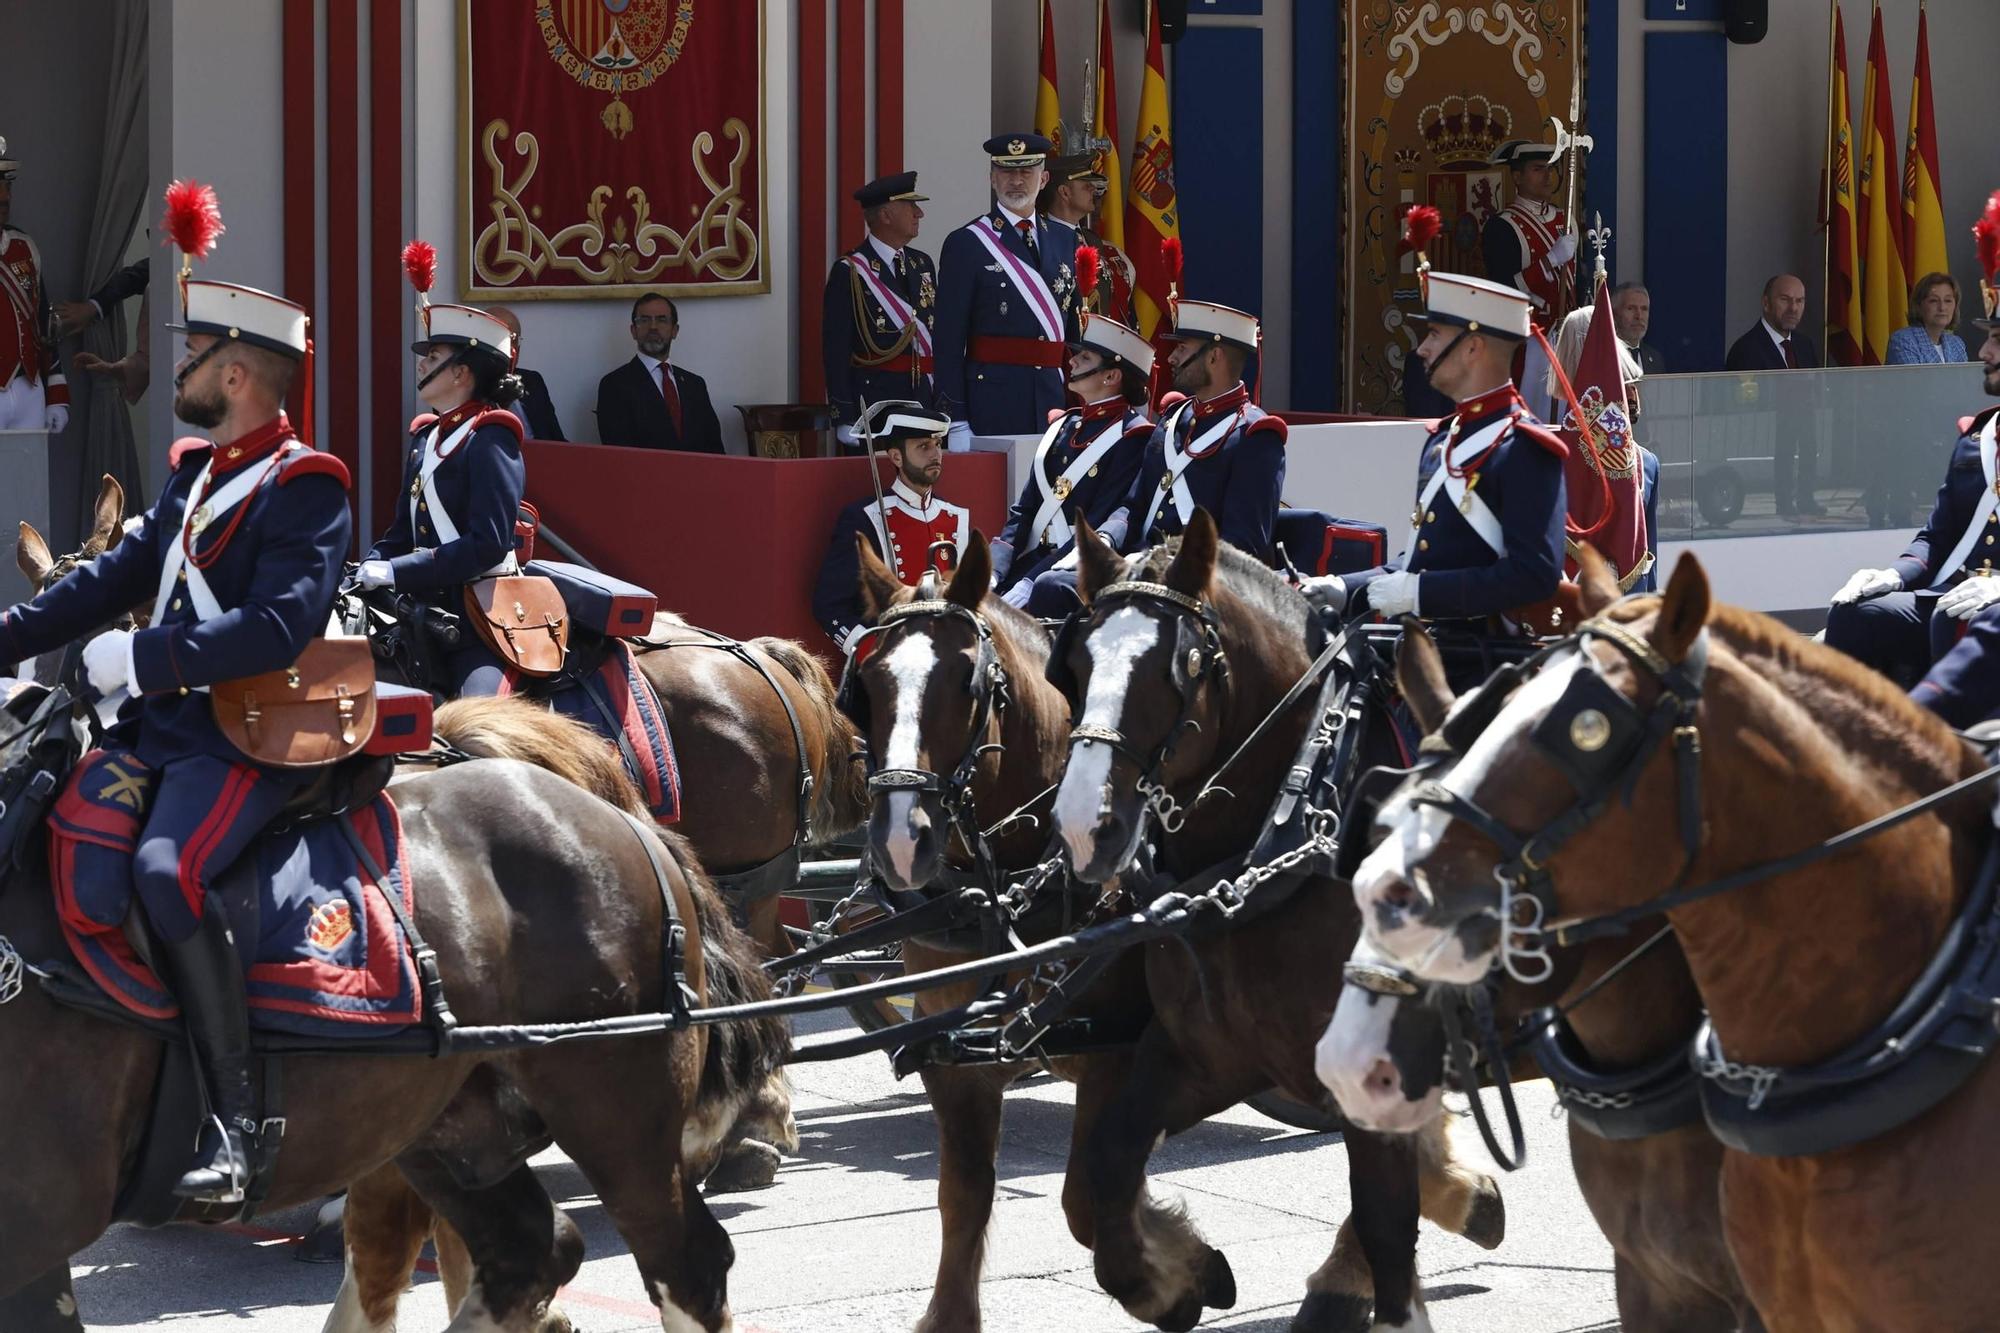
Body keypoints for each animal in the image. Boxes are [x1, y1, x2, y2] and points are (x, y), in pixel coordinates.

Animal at [0, 688, 788, 1320]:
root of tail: (624, 821)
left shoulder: (39, 1217)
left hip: (616, 1113)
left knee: (682, 1259)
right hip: (445, 1126)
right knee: (525, 1249)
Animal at [844, 532, 1160, 1328]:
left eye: (968, 681)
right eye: (869, 685)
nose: (899, 842)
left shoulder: (1115, 1048)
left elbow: (1089, 1198)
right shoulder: (951, 1051)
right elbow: (964, 1197)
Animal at [1048, 508, 1504, 1328]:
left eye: (1182, 665)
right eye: (1075, 664)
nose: (1081, 825)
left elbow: (1388, 1221)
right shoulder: (1205, 1051)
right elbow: (1107, 1165)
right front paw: (1177, 1277)